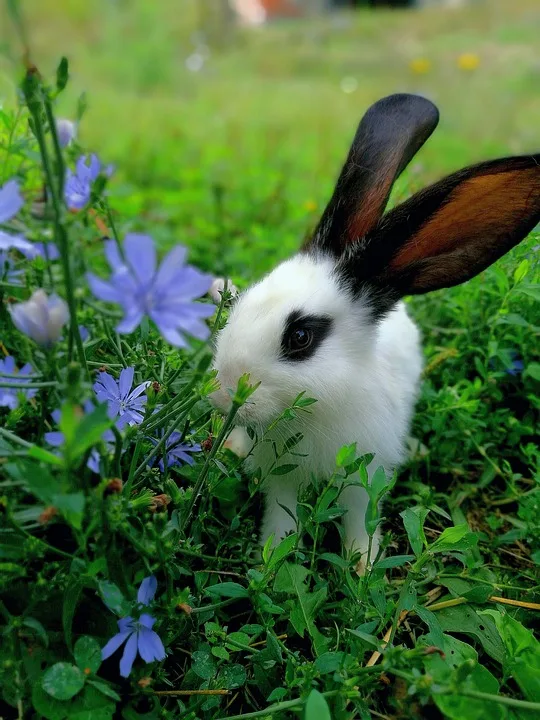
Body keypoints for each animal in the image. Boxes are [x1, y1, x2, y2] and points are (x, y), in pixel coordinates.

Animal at [210, 94, 540, 568]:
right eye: (243, 301)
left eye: (300, 338)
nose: (223, 396)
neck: (320, 411)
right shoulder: (281, 476)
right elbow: (282, 515)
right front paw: (272, 559)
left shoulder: (365, 475)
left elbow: (359, 519)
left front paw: (363, 566)